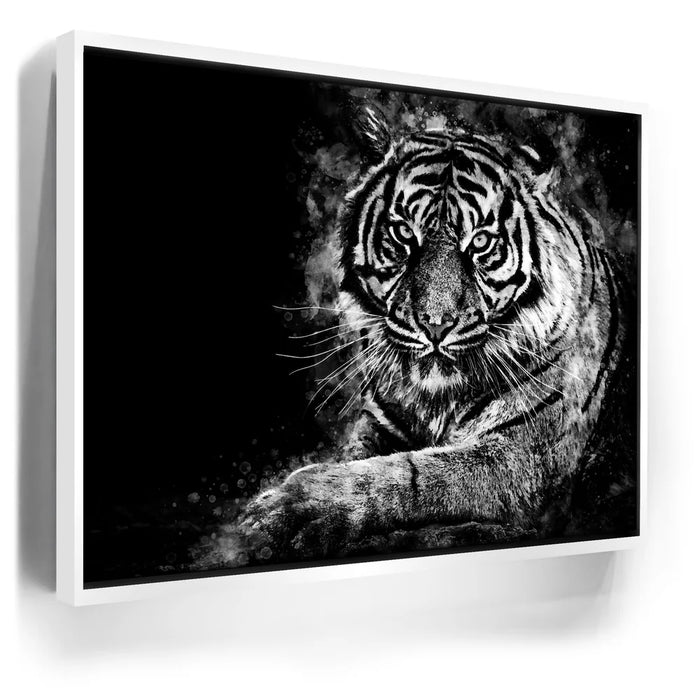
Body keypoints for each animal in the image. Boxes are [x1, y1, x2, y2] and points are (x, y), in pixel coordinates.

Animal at [224, 103, 634, 566]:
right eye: (404, 233)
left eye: (481, 242)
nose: (435, 324)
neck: (435, 399)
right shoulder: (380, 423)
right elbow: (363, 459)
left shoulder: (521, 456)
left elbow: (410, 473)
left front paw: (291, 507)